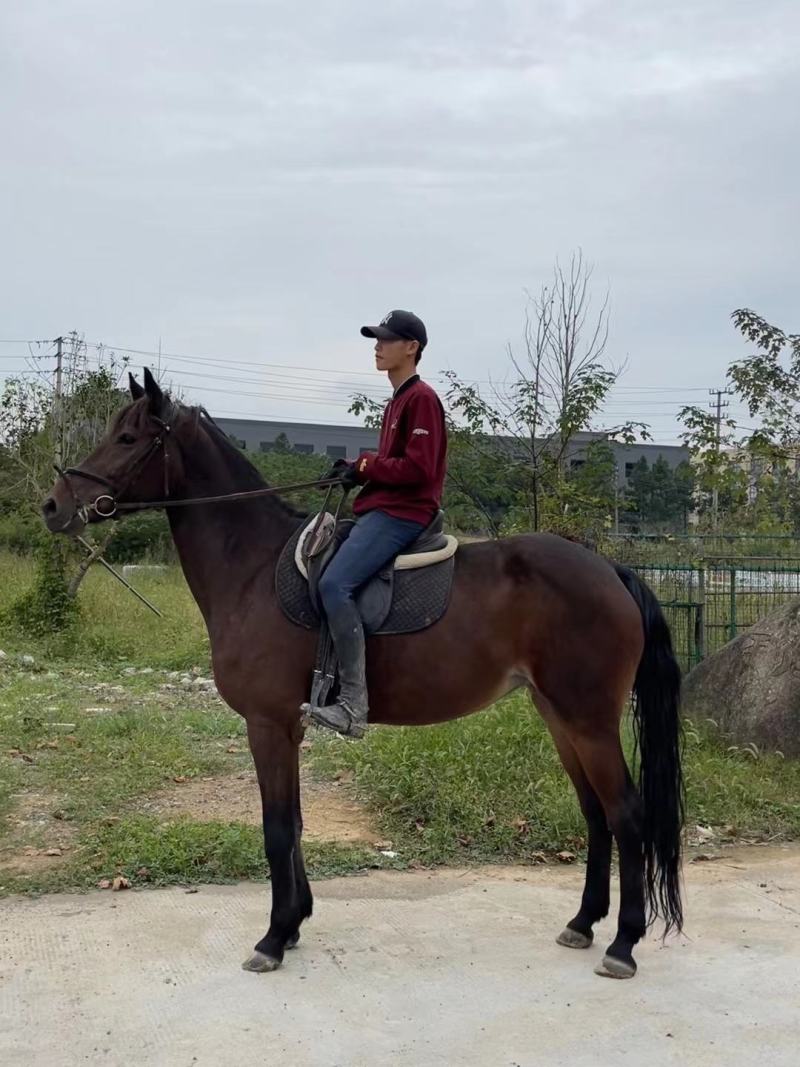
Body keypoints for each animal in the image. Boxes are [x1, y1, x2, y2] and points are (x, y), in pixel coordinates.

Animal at [42, 369, 683, 980]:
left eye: (127, 438)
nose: (53, 505)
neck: (251, 566)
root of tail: (608, 568)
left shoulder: (267, 724)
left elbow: (278, 829)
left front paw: (272, 939)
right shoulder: (288, 727)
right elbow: (296, 823)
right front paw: (294, 923)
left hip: (588, 720)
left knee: (627, 815)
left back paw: (623, 944)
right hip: (560, 716)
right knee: (595, 812)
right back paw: (583, 923)